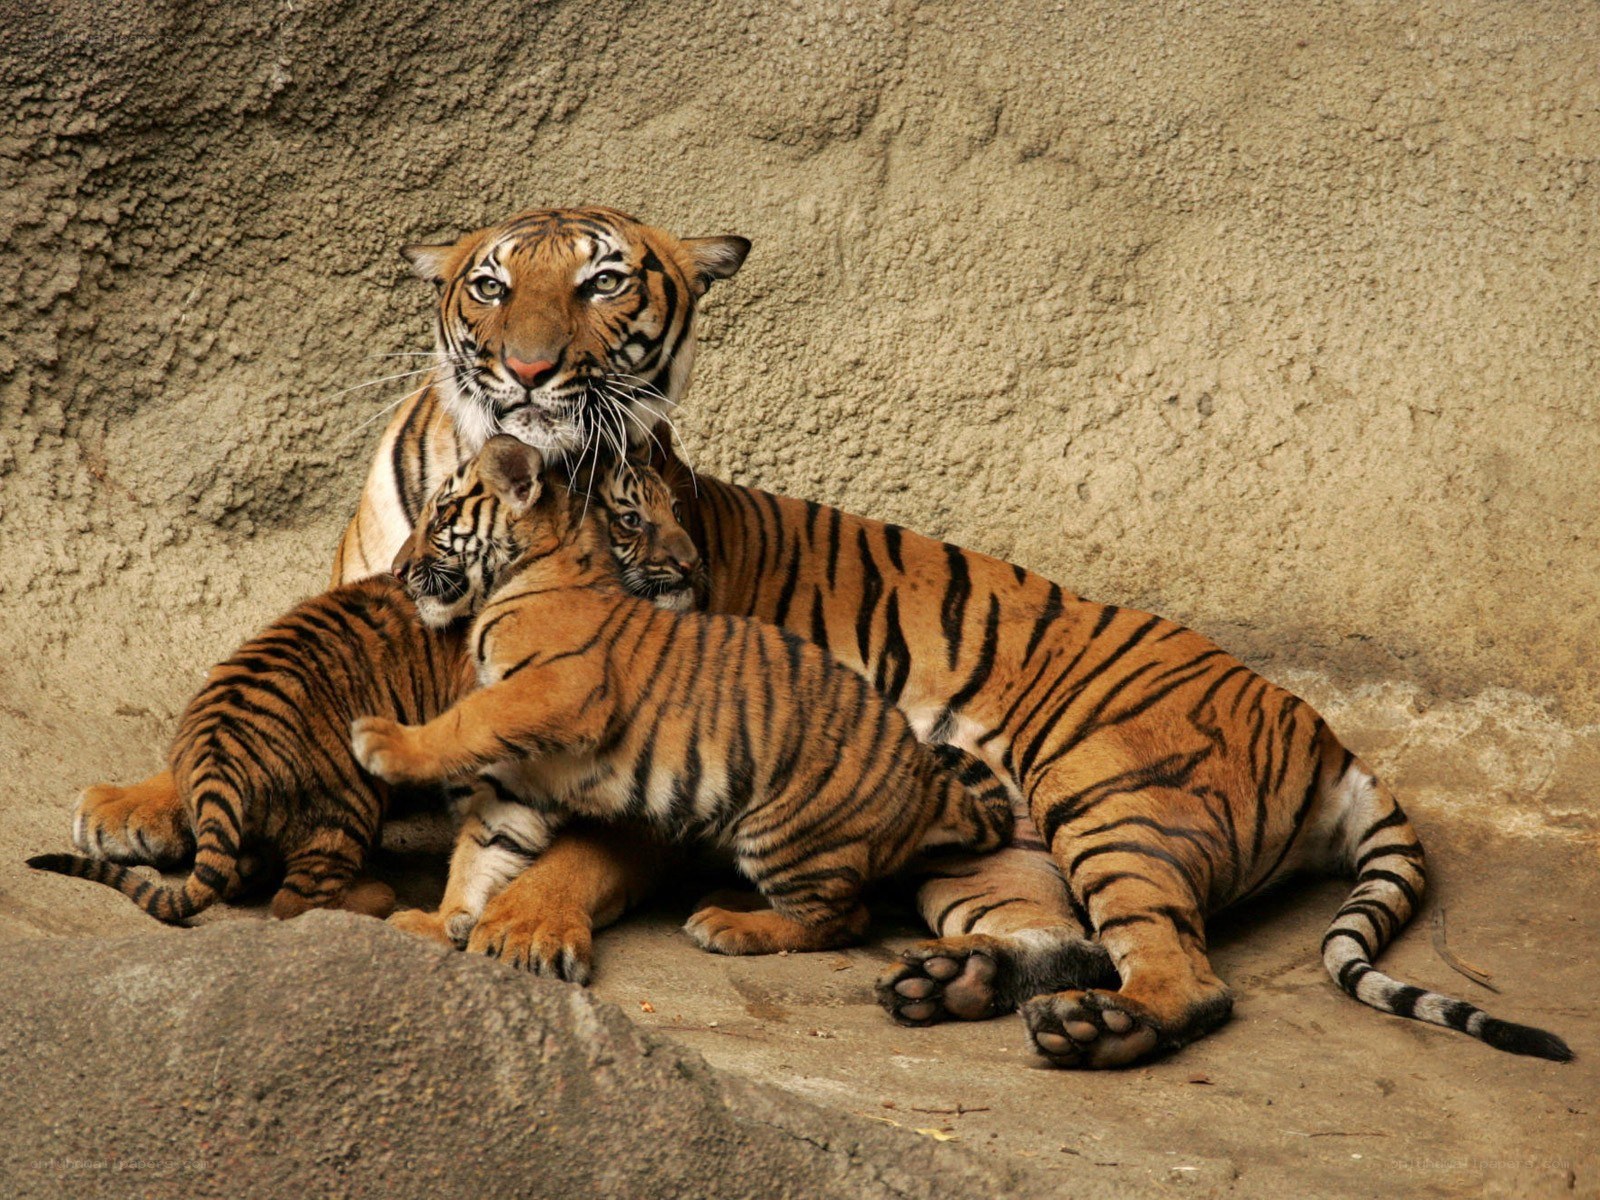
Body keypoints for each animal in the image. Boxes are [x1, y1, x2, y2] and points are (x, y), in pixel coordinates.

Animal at [349, 436, 1014, 961]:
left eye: (441, 514)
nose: (399, 570)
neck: (533, 569)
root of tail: (929, 784)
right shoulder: (525, 772)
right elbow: (484, 848)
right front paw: (438, 921)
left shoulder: (555, 691)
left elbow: (467, 721)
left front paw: (382, 743)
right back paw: (727, 899)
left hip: (786, 831)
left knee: (844, 918)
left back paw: (729, 925)